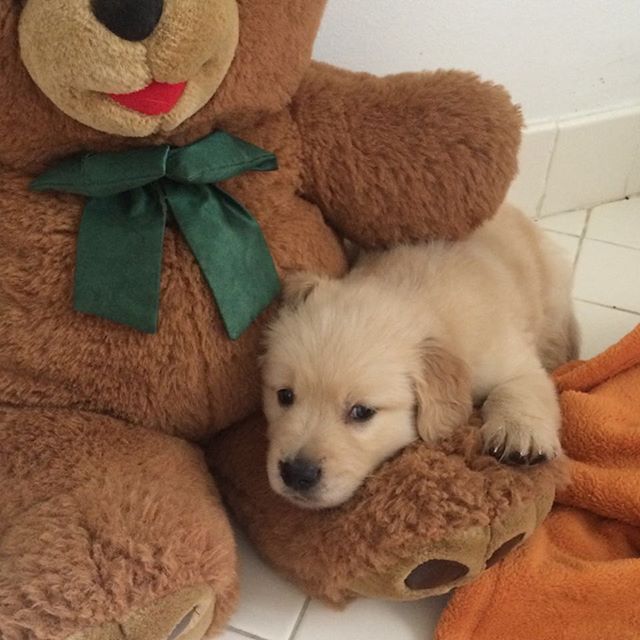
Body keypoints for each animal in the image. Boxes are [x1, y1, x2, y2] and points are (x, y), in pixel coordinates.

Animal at [262, 205, 576, 510]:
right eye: (285, 396)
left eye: (362, 412)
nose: (296, 473)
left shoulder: (509, 360)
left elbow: (520, 386)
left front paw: (520, 434)